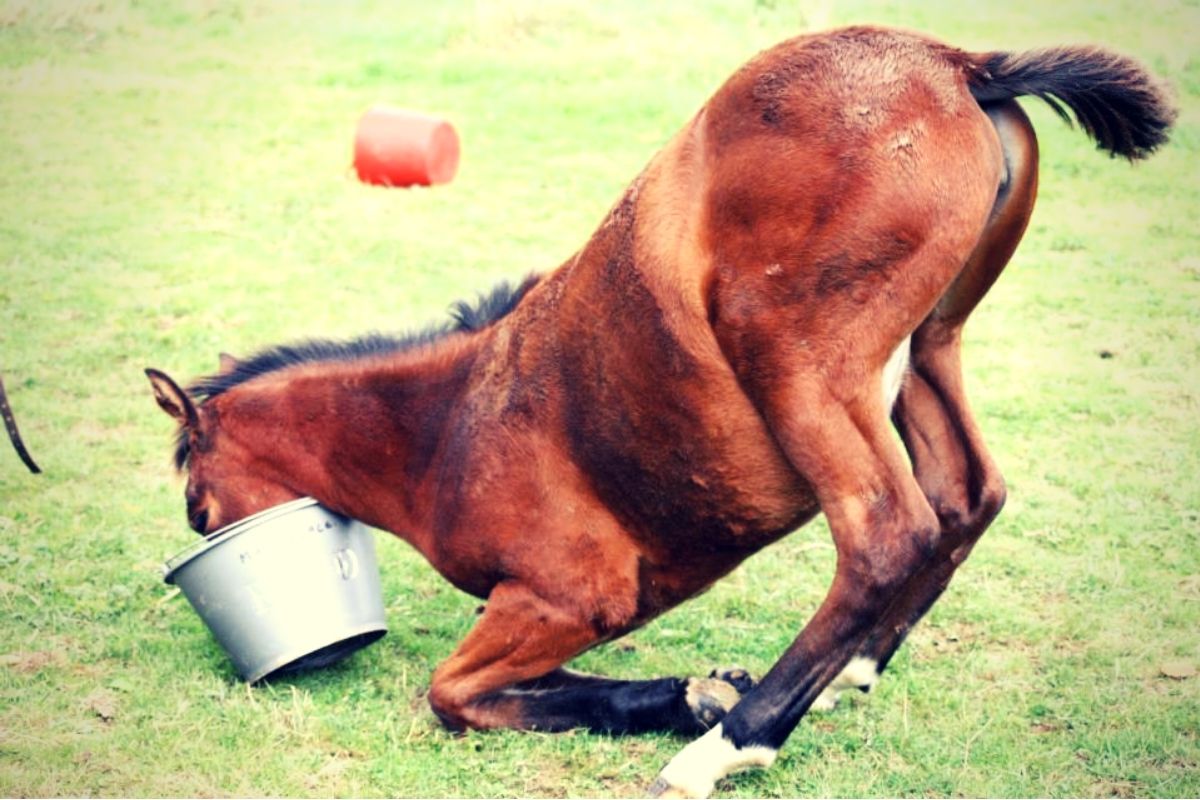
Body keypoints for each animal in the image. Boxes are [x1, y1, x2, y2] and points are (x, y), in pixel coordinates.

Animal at [142, 26, 1171, 800]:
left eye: (197, 507)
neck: (443, 433)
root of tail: (959, 63)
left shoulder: (564, 596)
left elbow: (454, 693)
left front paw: (700, 708)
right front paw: (696, 691)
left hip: (799, 365)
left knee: (888, 531)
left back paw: (728, 750)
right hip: (931, 348)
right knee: (969, 496)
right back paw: (845, 677)